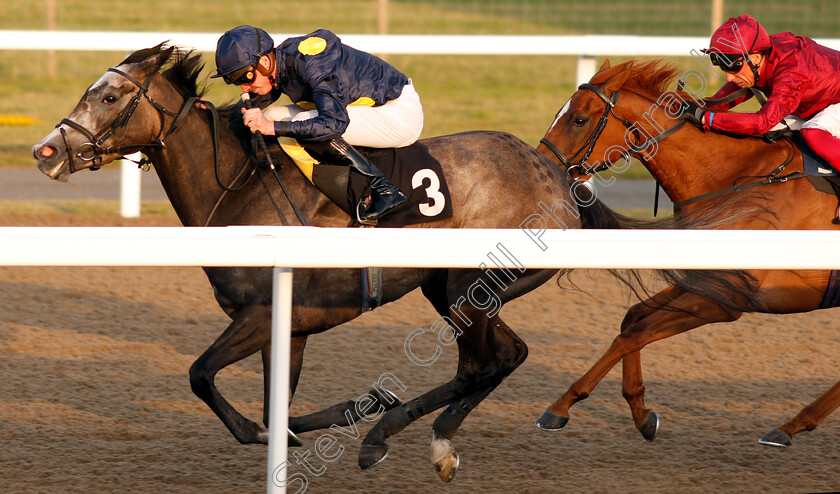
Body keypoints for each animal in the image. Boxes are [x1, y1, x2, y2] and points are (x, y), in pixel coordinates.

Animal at [540, 58, 840, 448]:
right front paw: (641, 412)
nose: (539, 164)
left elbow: (632, 334)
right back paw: (789, 427)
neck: (733, 181)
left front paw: (560, 407)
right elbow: (632, 318)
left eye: (578, 119)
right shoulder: (703, 281)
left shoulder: (726, 301)